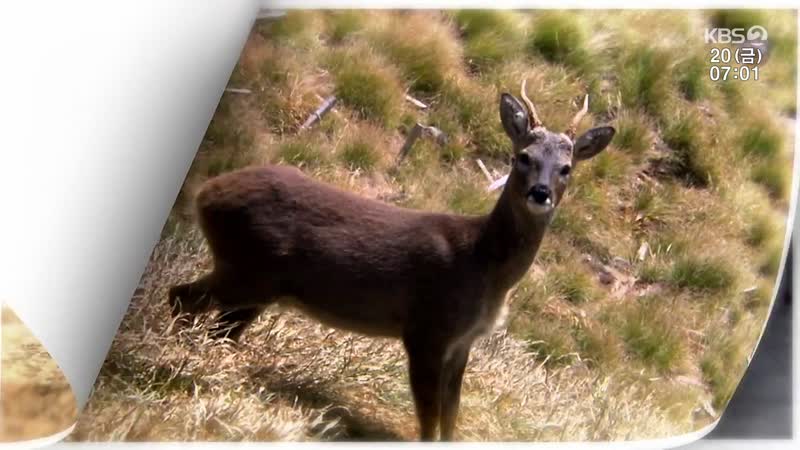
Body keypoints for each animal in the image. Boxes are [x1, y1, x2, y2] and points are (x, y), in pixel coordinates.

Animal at [168, 80, 615, 441]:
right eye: (521, 157)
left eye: (566, 168)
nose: (540, 193)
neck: (483, 266)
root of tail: (206, 193)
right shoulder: (426, 328)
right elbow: (429, 416)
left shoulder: (462, 342)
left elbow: (451, 416)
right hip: (247, 267)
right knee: (180, 296)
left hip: (258, 285)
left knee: (218, 327)